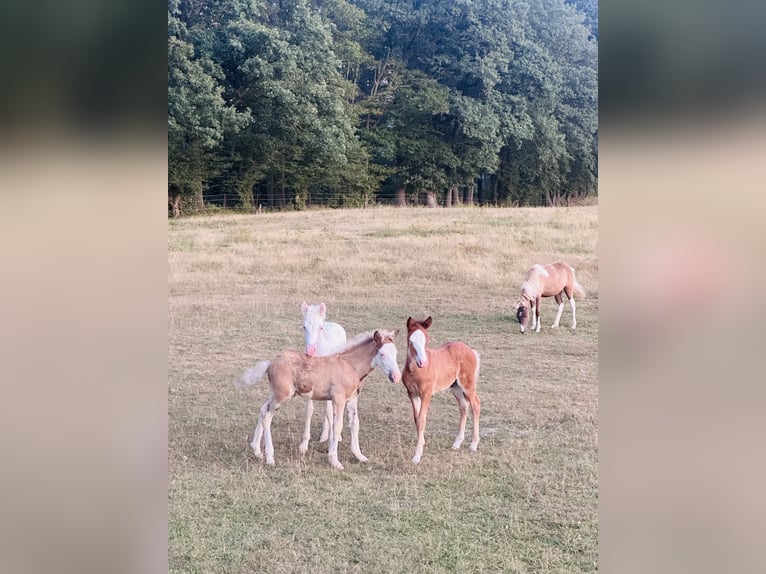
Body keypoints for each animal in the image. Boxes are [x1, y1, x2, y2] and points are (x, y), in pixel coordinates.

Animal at [236, 330, 402, 470]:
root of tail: (271, 363)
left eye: (395, 353)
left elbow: (355, 424)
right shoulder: (338, 399)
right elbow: (337, 426)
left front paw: (359, 456)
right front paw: (334, 461)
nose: (396, 376)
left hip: (277, 394)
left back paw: (257, 450)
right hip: (282, 396)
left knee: (263, 410)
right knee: (267, 416)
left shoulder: (352, 399)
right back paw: (270, 458)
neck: (350, 366)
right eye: (382, 354)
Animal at [300, 304, 348, 448]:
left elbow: (329, 411)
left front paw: (334, 439)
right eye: (304, 327)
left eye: (320, 328)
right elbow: (309, 410)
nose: (310, 350)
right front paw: (304, 444)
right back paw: (324, 435)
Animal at [402, 318, 480, 466]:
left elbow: (422, 419)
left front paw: (417, 456)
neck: (415, 371)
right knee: (464, 407)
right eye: (411, 340)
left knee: (475, 405)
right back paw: (457, 443)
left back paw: (473, 445)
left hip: (467, 385)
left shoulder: (426, 394)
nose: (422, 362)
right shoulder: (412, 394)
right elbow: (416, 419)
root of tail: (472, 351)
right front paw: (422, 443)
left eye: (427, 340)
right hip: (456, 387)